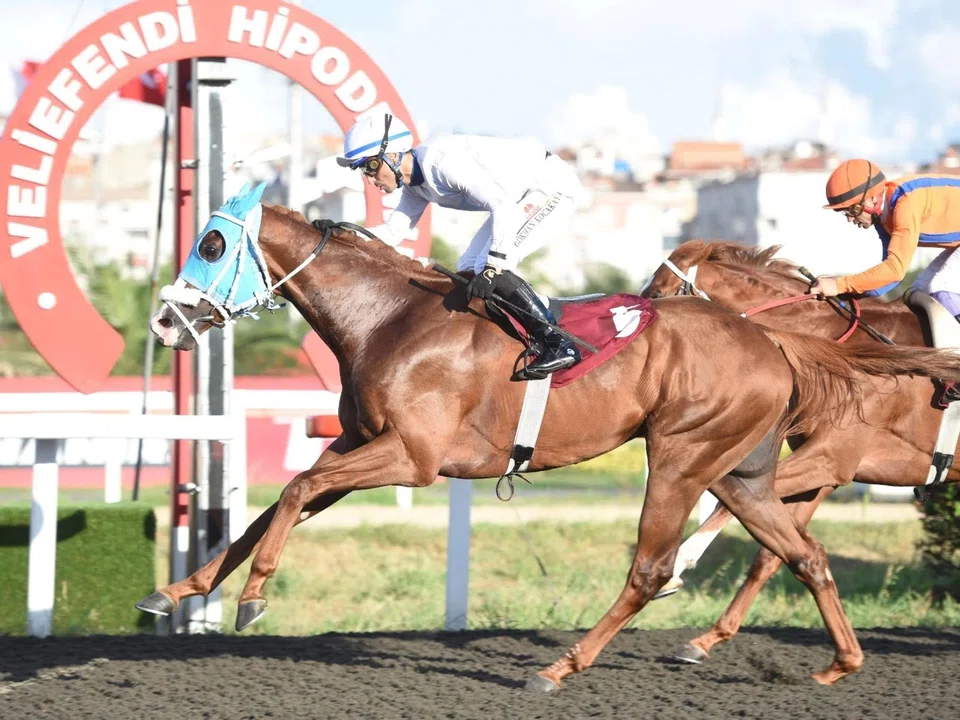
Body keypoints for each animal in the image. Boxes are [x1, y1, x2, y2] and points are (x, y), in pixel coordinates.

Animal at [642, 239, 959, 667]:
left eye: (658, 292)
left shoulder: (831, 459)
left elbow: (728, 502)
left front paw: (676, 567)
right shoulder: (824, 468)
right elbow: (769, 553)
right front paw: (704, 640)